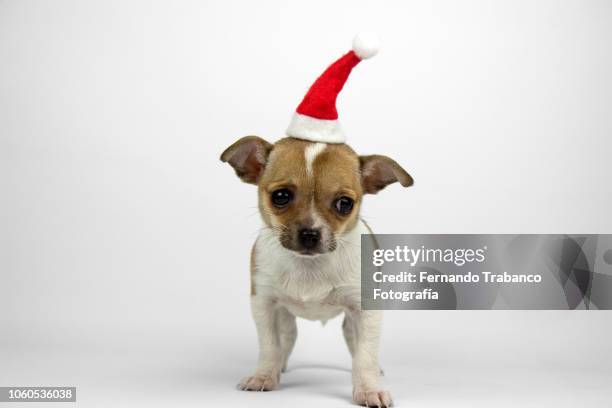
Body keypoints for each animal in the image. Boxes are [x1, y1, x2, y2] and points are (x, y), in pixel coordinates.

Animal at [220, 135, 412, 406]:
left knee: (355, 345)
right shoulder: (264, 304)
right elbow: (269, 346)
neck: (309, 266)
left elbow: (365, 356)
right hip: (285, 318)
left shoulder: (366, 312)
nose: (310, 233)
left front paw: (368, 389)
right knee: (286, 339)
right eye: (281, 196)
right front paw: (264, 375)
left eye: (344, 203)